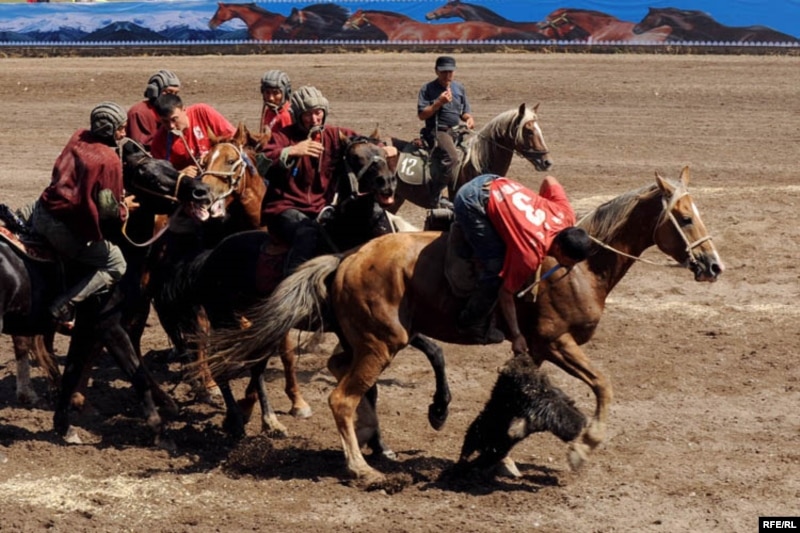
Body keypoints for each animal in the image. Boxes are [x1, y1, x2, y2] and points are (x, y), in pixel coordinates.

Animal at [1, 145, 213, 447]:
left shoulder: (87, 328)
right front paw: (159, 430)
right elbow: (136, 373)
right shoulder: (110, 326)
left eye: (170, 165)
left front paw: (65, 426)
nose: (202, 191)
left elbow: (73, 371)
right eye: (147, 175)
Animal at [201, 166, 724, 485]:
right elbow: (603, 384)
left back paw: (373, 442)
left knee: (339, 373)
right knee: (341, 398)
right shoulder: (557, 341)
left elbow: (521, 396)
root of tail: (344, 259)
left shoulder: (533, 348)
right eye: (683, 217)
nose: (712, 265)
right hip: (382, 342)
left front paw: (505, 456)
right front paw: (582, 447)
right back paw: (359, 466)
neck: (574, 267)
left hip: (365, 340)